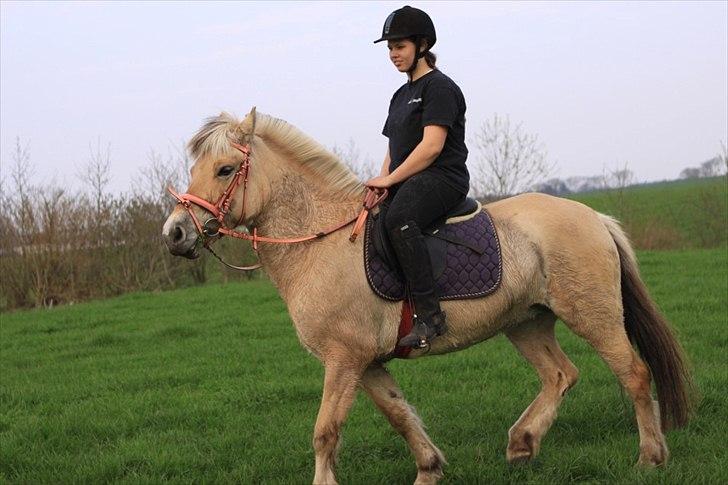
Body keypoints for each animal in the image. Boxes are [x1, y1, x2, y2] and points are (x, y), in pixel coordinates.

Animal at [162, 108, 693, 485]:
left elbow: (325, 432)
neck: (322, 240)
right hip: (527, 322)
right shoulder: (365, 362)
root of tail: (594, 217)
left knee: (634, 374)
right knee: (561, 375)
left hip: (593, 315)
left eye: (225, 169)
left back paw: (650, 457)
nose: (175, 233)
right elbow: (399, 416)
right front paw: (429, 468)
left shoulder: (344, 359)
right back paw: (522, 443)